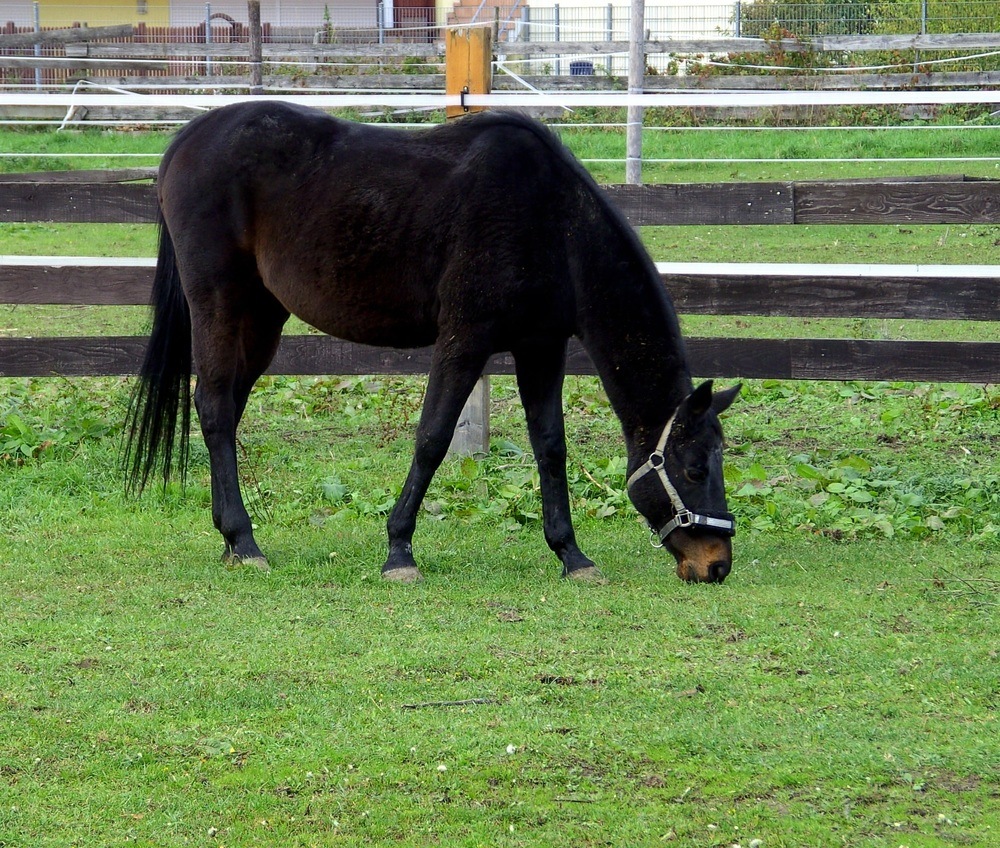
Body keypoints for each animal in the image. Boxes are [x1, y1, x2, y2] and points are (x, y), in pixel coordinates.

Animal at [125, 101, 740, 584]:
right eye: (693, 469)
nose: (716, 564)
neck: (552, 221)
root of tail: (187, 139)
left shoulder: (541, 347)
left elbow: (550, 447)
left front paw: (572, 555)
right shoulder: (463, 341)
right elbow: (433, 439)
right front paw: (399, 552)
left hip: (261, 318)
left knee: (225, 408)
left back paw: (231, 541)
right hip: (220, 303)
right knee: (214, 408)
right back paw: (245, 540)